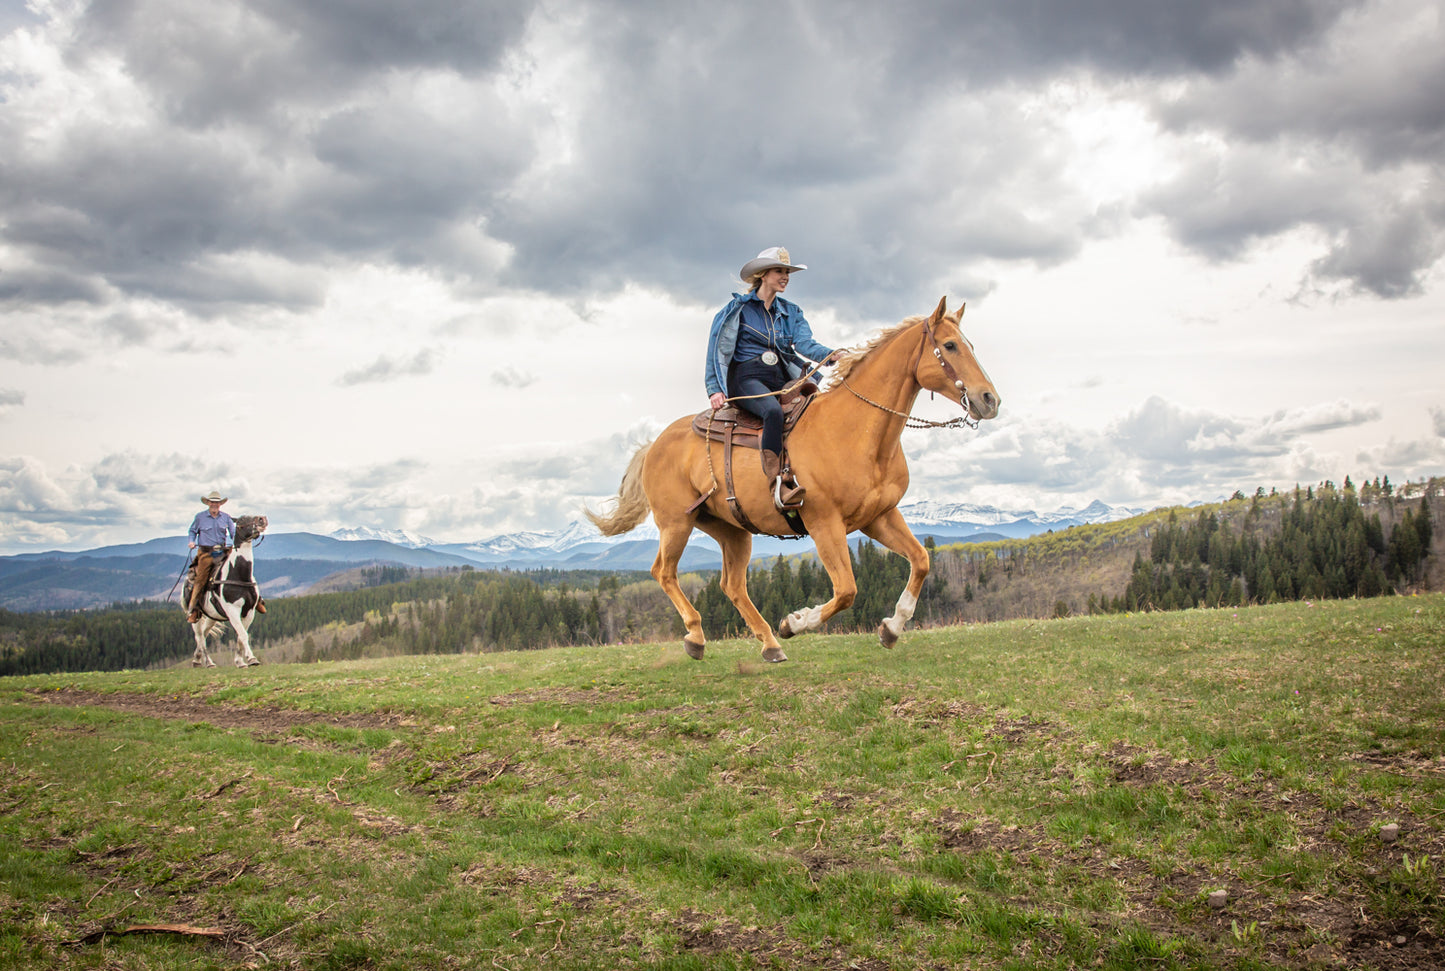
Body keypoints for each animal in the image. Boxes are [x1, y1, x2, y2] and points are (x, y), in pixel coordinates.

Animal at [186, 514, 268, 667]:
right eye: (242, 520)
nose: (262, 519)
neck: (239, 575)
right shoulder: (233, 611)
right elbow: (243, 634)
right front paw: (251, 659)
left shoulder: (249, 612)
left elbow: (240, 636)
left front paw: (240, 661)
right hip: (196, 616)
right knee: (199, 636)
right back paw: (205, 661)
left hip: (212, 616)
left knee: (204, 634)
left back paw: (200, 659)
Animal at [583, 296, 994, 664]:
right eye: (950, 345)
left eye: (971, 345)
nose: (989, 399)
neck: (858, 431)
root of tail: (654, 444)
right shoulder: (823, 522)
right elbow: (846, 590)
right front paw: (796, 622)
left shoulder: (879, 516)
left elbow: (921, 561)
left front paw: (892, 628)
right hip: (675, 523)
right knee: (664, 572)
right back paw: (699, 636)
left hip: (732, 530)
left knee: (731, 585)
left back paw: (769, 645)